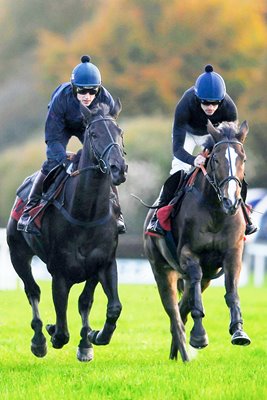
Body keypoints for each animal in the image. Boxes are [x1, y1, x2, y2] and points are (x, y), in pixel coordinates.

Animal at [6, 100, 127, 362]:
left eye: (120, 132)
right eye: (94, 134)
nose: (118, 168)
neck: (86, 216)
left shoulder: (104, 264)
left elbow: (107, 306)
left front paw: (93, 338)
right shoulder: (60, 273)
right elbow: (61, 329)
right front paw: (52, 332)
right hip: (17, 254)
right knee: (32, 291)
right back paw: (39, 340)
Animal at [144, 120, 251, 360]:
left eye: (243, 158)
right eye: (216, 159)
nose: (231, 201)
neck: (215, 211)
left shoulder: (233, 253)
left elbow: (232, 290)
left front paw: (239, 331)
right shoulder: (188, 254)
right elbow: (194, 285)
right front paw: (199, 336)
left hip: (207, 278)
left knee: (182, 308)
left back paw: (177, 353)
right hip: (162, 270)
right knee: (175, 313)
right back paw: (184, 353)